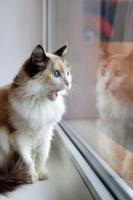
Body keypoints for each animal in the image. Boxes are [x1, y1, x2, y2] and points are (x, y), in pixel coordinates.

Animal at [0, 43, 71, 194]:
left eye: (68, 73)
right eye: (56, 74)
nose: (68, 83)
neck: (40, 103)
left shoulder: (46, 134)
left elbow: (41, 157)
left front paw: (42, 174)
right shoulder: (19, 137)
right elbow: (28, 161)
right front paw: (32, 176)